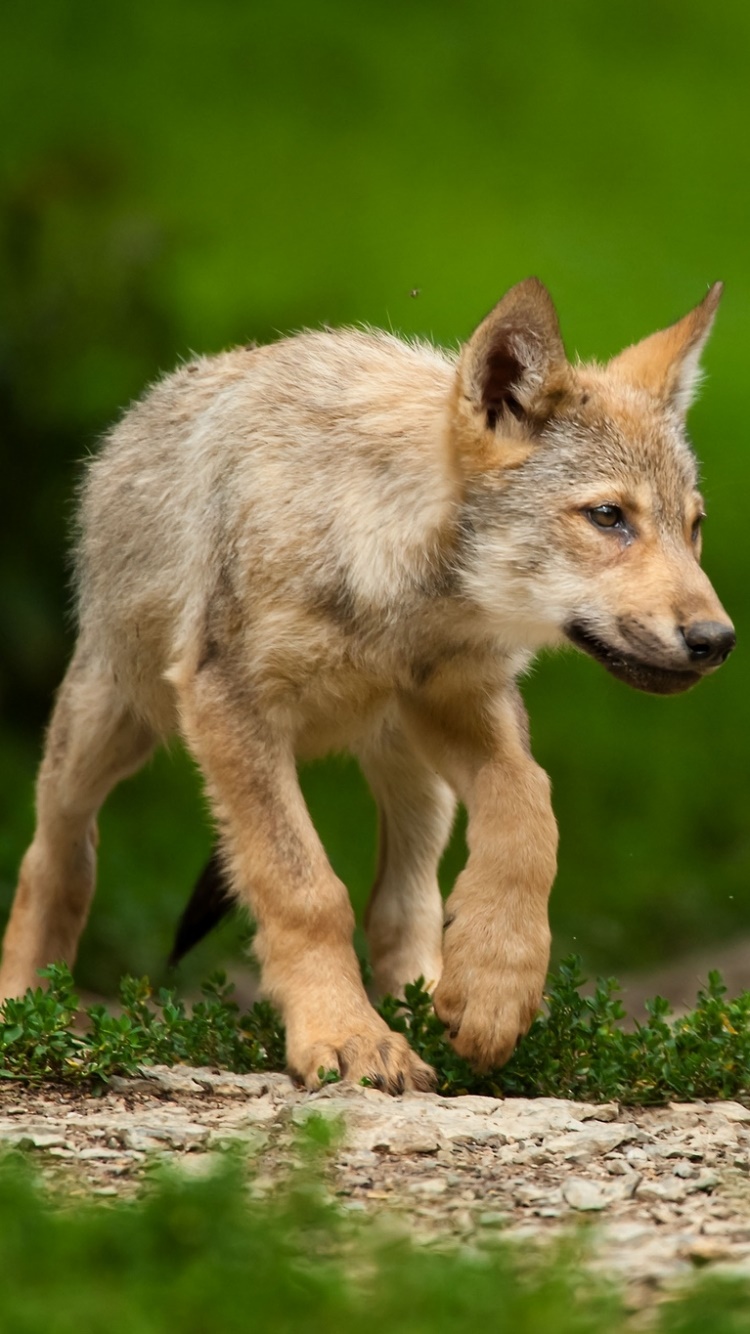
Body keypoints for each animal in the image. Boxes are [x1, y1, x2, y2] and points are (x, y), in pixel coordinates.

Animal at [0, 278, 735, 1092]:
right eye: (609, 517)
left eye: (694, 527)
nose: (718, 641)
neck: (392, 582)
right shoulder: (230, 710)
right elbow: (306, 890)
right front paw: (347, 1035)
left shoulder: (461, 700)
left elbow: (530, 809)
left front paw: (493, 986)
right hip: (107, 729)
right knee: (55, 858)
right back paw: (27, 1008)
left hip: (415, 777)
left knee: (403, 904)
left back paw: (428, 997)